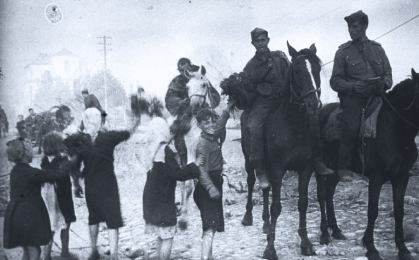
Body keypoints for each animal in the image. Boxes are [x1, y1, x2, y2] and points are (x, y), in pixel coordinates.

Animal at [223, 42, 324, 258]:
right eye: (297, 71)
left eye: (317, 69)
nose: (314, 104)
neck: (294, 125)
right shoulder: (278, 168)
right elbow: (276, 206)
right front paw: (270, 248)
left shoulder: (306, 168)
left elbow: (302, 203)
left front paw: (305, 242)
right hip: (250, 160)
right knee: (253, 183)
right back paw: (249, 217)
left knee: (265, 188)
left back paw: (266, 223)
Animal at [316, 68, 418, 258]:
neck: (396, 132)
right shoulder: (376, 177)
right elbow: (372, 211)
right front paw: (371, 248)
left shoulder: (402, 177)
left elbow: (399, 211)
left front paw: (403, 248)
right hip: (321, 167)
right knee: (321, 194)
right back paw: (325, 234)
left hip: (336, 169)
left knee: (329, 192)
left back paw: (336, 230)